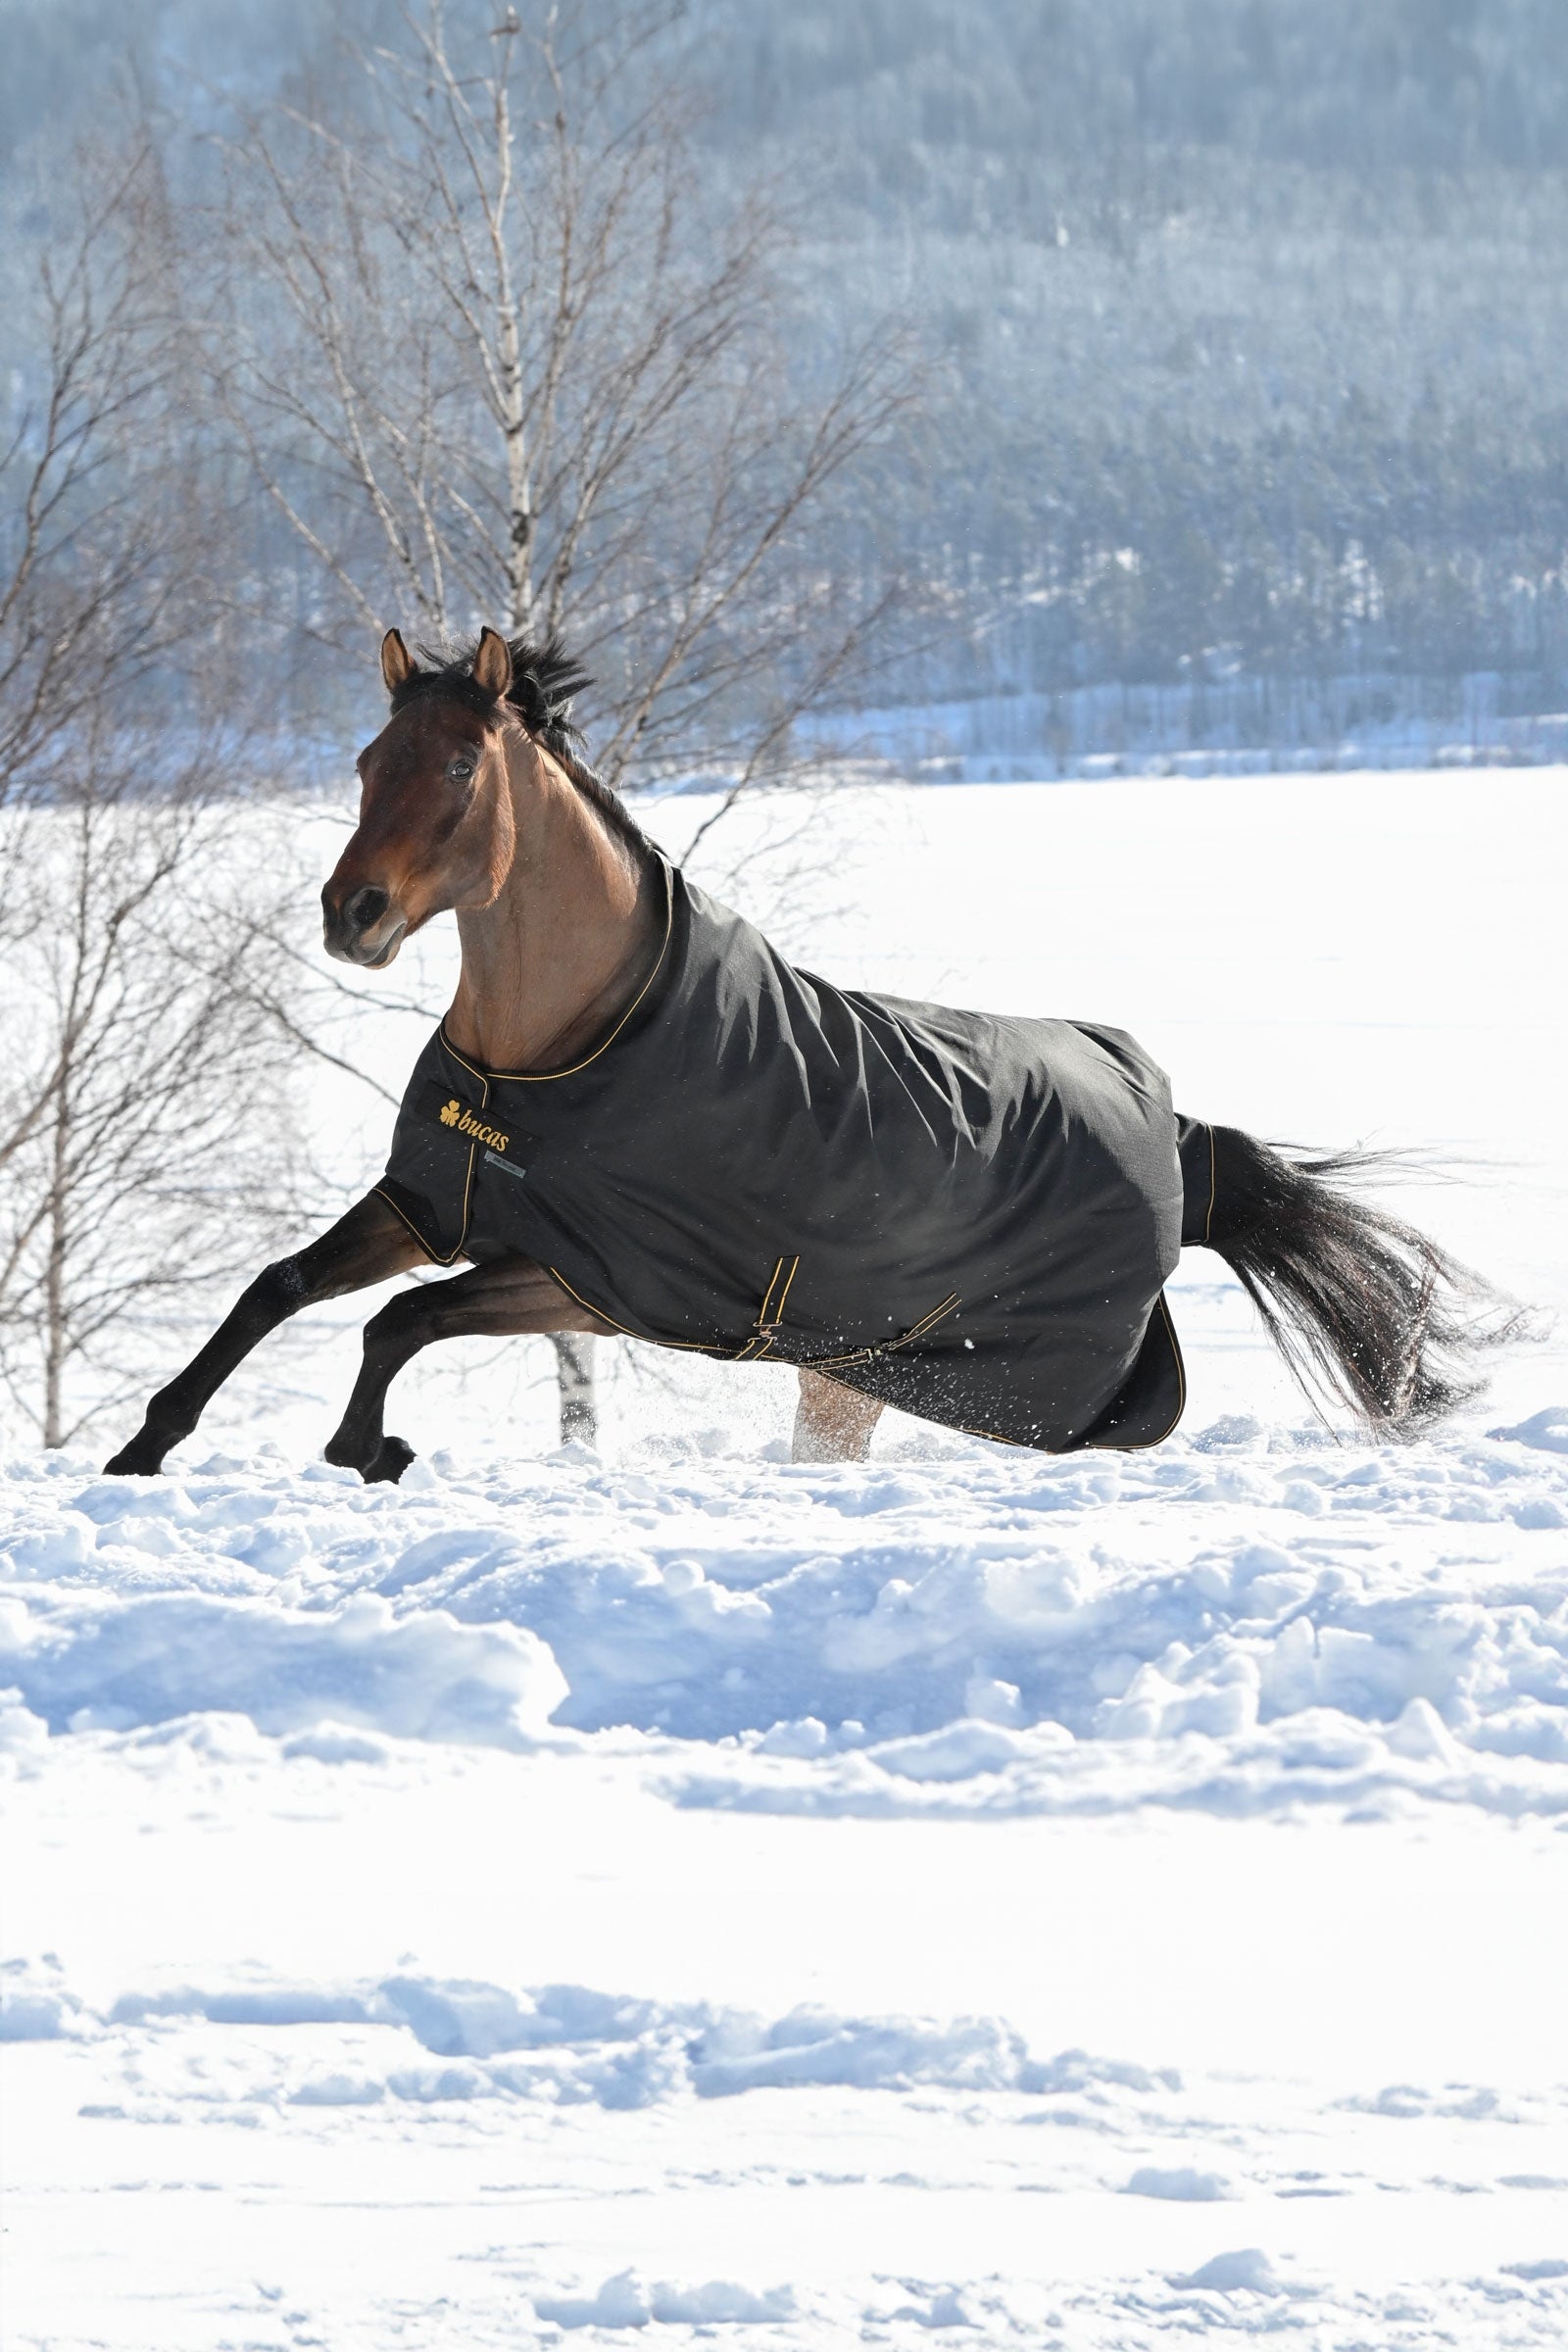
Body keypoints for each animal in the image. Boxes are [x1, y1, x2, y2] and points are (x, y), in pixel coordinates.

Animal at [105, 627, 1510, 1483]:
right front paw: (144, 1448)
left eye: (457, 762)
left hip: (899, 1384)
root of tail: (1174, 1131)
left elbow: (398, 1318)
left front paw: (368, 1451)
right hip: (851, 1376)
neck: (554, 1058)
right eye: (362, 759)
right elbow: (280, 1287)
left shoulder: (591, 1280)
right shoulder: (430, 1202)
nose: (351, 916)